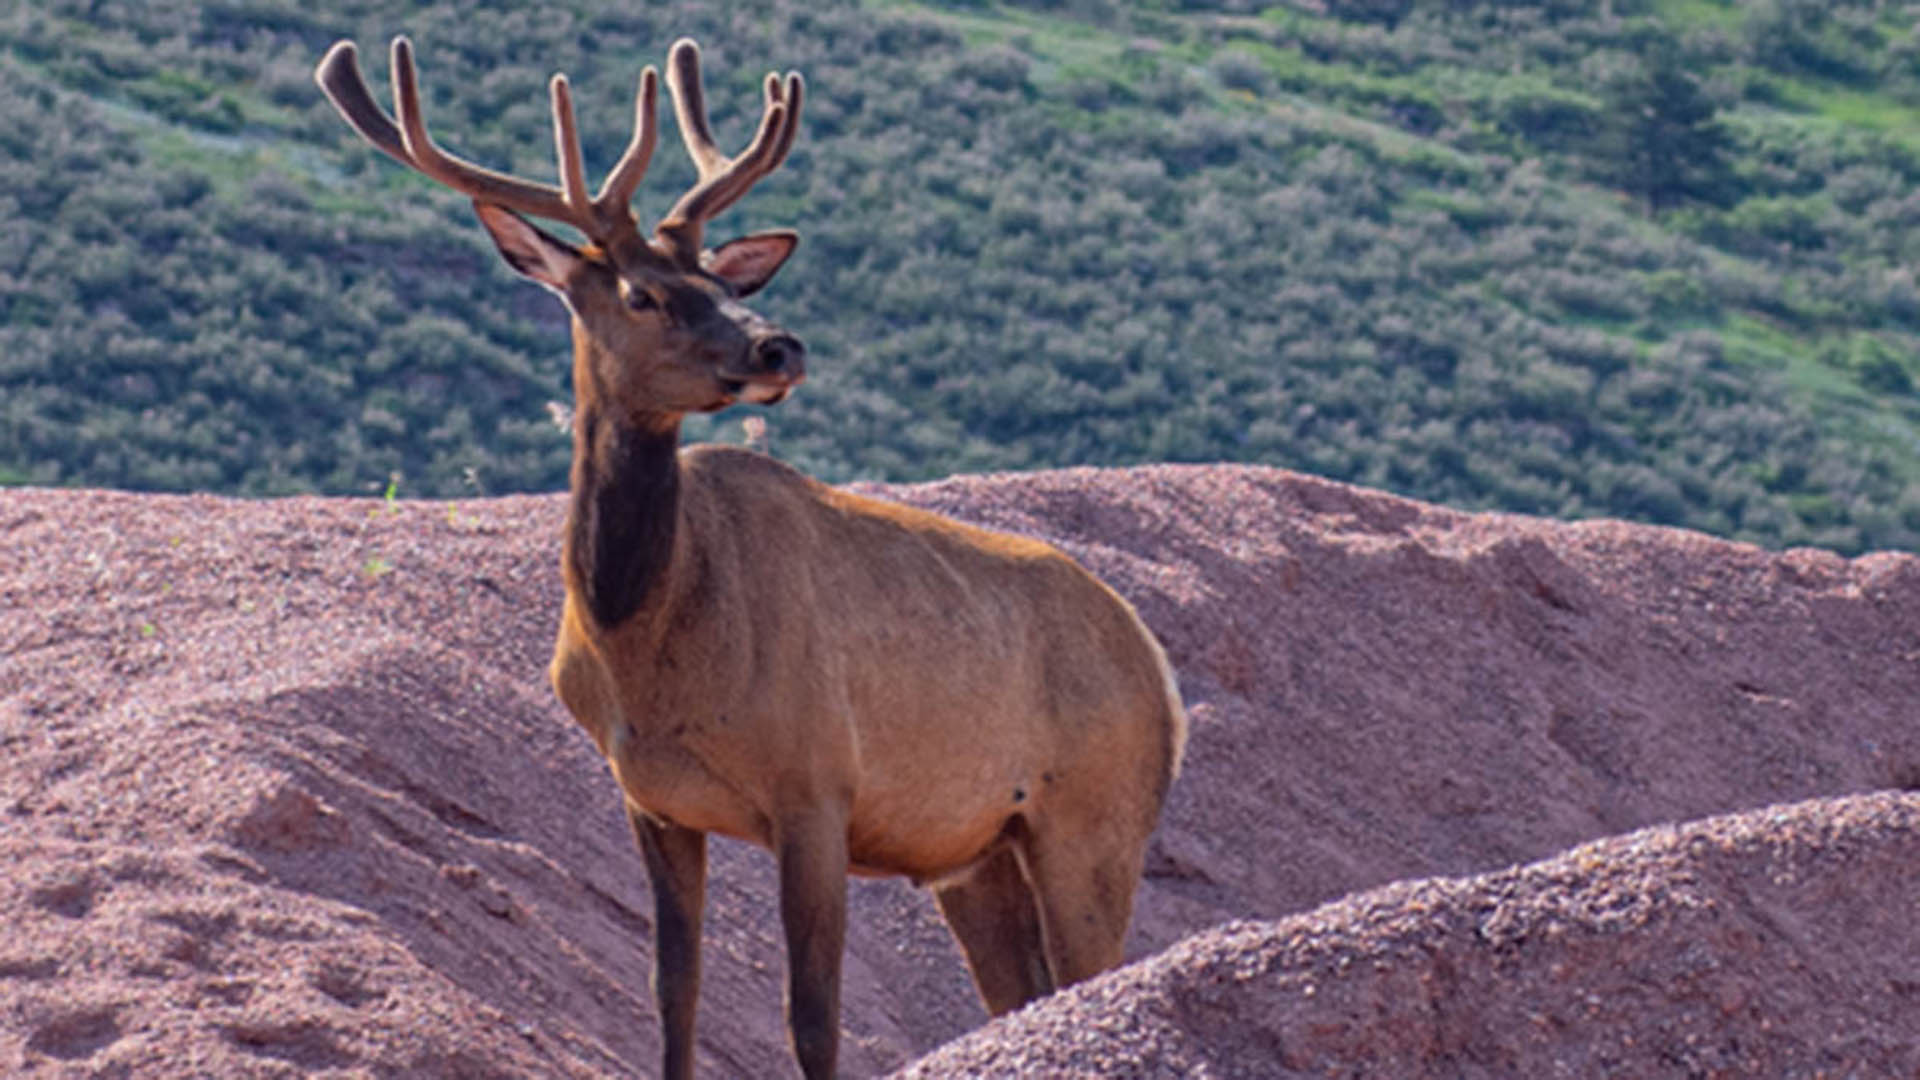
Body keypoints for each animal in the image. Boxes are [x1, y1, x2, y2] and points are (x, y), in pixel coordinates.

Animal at [315, 36, 1186, 1079]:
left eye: (729, 285)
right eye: (643, 292)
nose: (780, 346)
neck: (643, 644)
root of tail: (1162, 673)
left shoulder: (817, 783)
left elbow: (811, 1015)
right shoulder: (654, 801)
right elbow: (673, 991)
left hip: (1095, 815)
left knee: (1092, 972)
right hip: (976, 849)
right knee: (1022, 993)